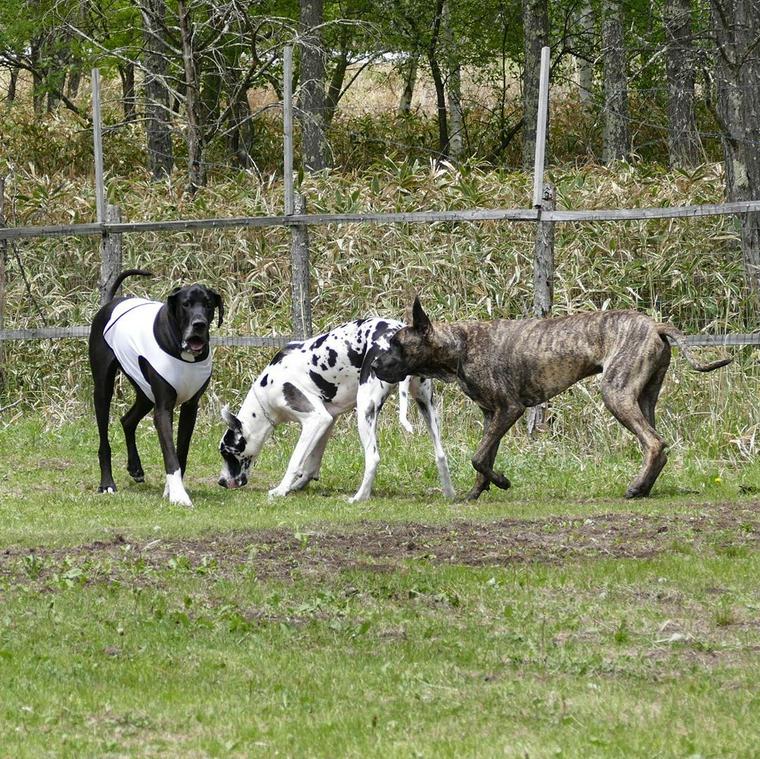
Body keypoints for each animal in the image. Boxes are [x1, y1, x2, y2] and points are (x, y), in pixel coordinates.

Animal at [89, 270, 224, 508]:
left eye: (208, 304)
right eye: (186, 304)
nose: (199, 324)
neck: (183, 352)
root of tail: (112, 302)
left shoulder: (190, 408)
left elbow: (181, 452)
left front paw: (170, 489)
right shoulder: (163, 408)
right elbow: (170, 454)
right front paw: (179, 495)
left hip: (145, 392)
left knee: (127, 420)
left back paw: (135, 467)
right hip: (104, 389)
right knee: (104, 439)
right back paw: (107, 483)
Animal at [217, 318, 454, 502]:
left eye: (227, 453)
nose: (220, 482)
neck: (266, 391)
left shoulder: (315, 419)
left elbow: (295, 460)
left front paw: (282, 489)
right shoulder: (327, 421)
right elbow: (311, 464)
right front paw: (298, 485)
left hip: (365, 411)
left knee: (373, 458)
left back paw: (360, 497)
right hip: (426, 406)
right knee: (441, 455)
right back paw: (449, 493)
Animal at [372, 298, 732, 504]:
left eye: (397, 344)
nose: (374, 365)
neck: (458, 346)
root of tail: (655, 324)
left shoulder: (510, 409)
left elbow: (477, 458)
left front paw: (501, 482)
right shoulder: (492, 415)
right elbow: (484, 458)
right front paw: (477, 492)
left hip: (615, 393)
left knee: (654, 443)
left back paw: (636, 488)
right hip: (644, 398)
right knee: (656, 444)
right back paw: (644, 487)